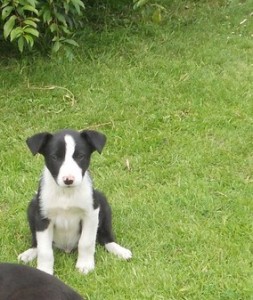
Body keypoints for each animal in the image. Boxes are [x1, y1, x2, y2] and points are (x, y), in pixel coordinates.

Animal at [18, 129, 132, 274]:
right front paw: (44, 271)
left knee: (105, 237)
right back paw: (29, 253)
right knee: (36, 242)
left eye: (80, 156)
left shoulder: (91, 213)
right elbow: (45, 250)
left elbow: (86, 242)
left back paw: (120, 251)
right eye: (55, 157)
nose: (68, 180)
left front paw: (85, 265)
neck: (66, 194)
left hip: (103, 203)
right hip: (32, 207)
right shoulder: (42, 218)